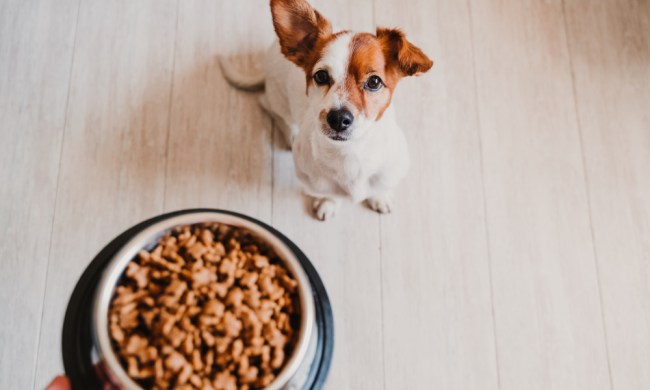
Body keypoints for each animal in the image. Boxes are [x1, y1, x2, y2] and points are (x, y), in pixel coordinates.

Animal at [220, 0, 432, 219]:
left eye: (374, 82)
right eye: (321, 76)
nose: (338, 118)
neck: (349, 153)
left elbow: (380, 187)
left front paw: (379, 197)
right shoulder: (313, 182)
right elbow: (328, 194)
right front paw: (328, 202)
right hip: (278, 101)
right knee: (269, 107)